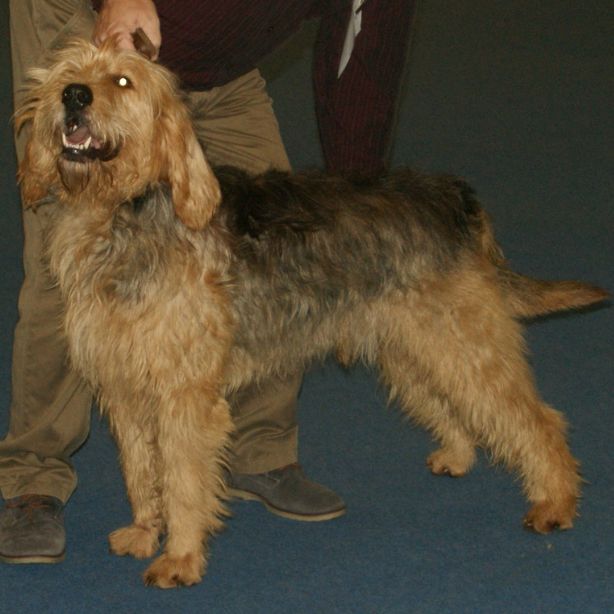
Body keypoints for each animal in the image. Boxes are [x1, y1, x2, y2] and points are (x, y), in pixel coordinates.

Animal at [16, 41, 608, 588]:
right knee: (453, 405)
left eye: (123, 80)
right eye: (68, 74)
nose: (74, 96)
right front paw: (144, 532)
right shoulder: (124, 386)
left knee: (538, 419)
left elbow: (182, 480)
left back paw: (556, 503)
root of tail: (453, 196)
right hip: (414, 347)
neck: (125, 215)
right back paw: (459, 455)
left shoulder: (184, 394)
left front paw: (180, 558)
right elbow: (141, 470)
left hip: (464, 342)